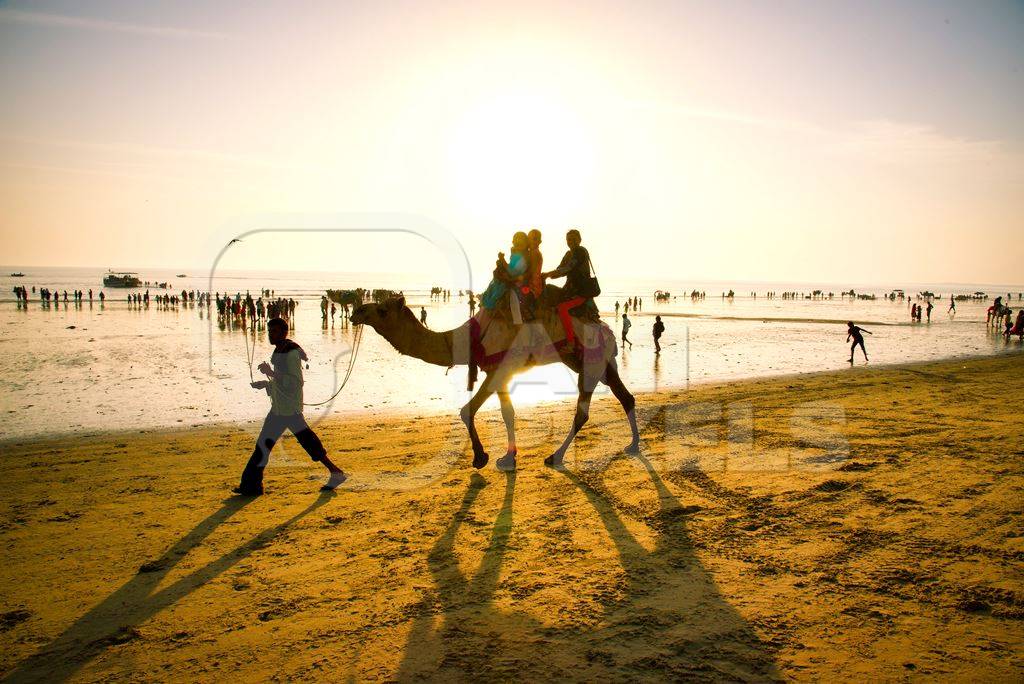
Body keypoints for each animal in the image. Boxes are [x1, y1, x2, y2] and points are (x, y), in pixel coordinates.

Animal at [354, 296, 638, 473]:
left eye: (382, 310)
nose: (357, 311)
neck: (469, 337)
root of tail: (608, 332)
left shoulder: (498, 368)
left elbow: (467, 410)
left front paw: (480, 458)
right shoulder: (500, 371)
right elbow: (507, 413)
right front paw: (508, 458)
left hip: (591, 362)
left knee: (583, 412)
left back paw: (555, 456)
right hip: (597, 363)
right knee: (625, 397)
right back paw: (633, 445)